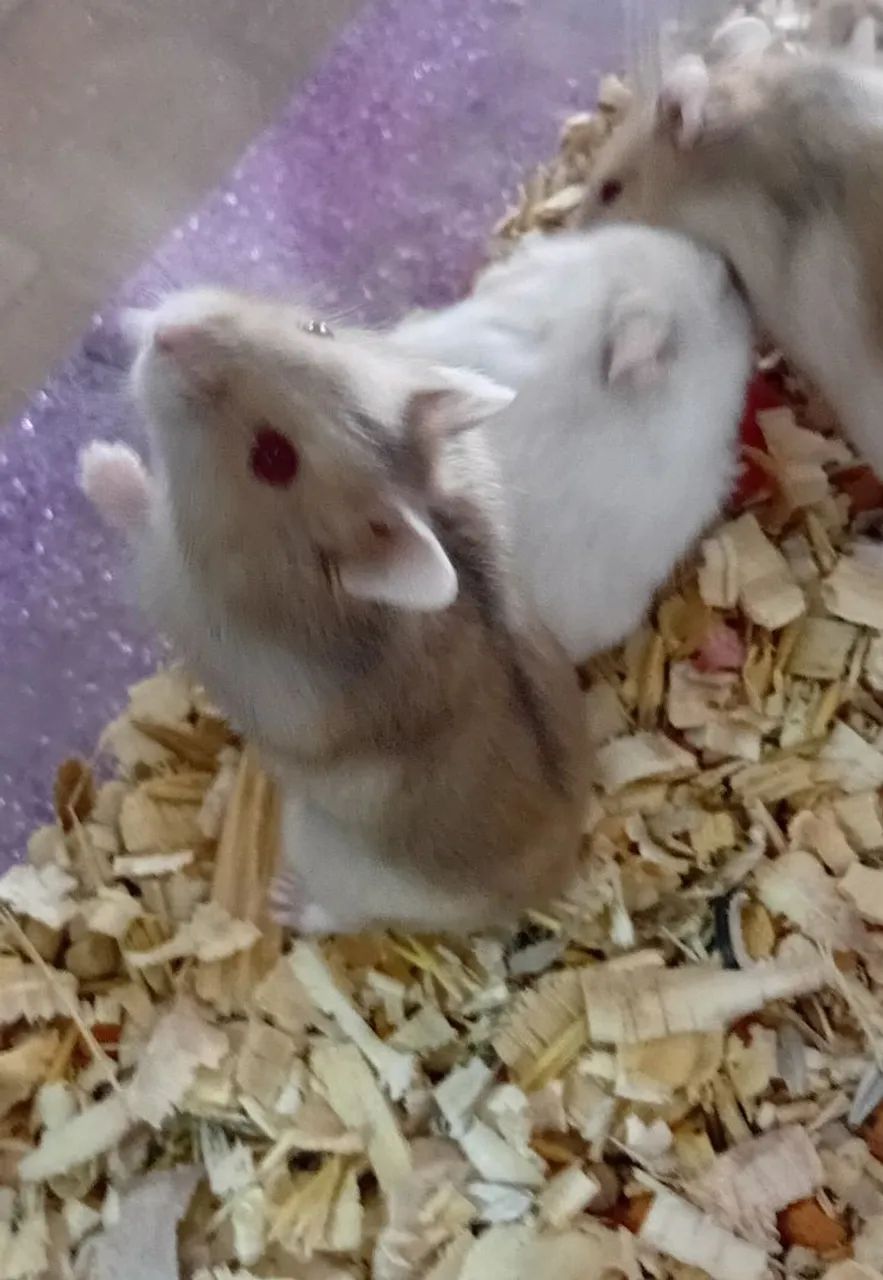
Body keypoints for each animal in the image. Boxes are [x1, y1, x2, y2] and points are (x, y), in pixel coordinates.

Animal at [79, 289, 589, 934]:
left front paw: (97, 460)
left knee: (342, 916)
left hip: (332, 858)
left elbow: (144, 515)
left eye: (273, 458)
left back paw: (284, 901)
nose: (169, 333)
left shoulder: (173, 582)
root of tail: (554, 881)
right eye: (317, 328)